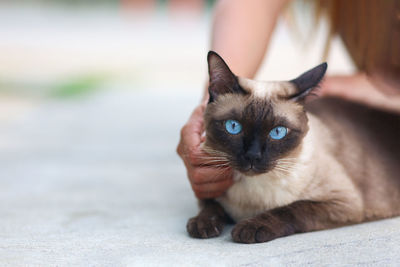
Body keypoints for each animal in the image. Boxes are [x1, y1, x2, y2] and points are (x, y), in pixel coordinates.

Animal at [186, 50, 400, 245]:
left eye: (278, 132)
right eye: (233, 127)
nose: (253, 156)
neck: (251, 198)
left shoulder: (344, 203)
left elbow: (293, 208)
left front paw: (250, 227)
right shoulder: (208, 188)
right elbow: (210, 206)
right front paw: (202, 225)